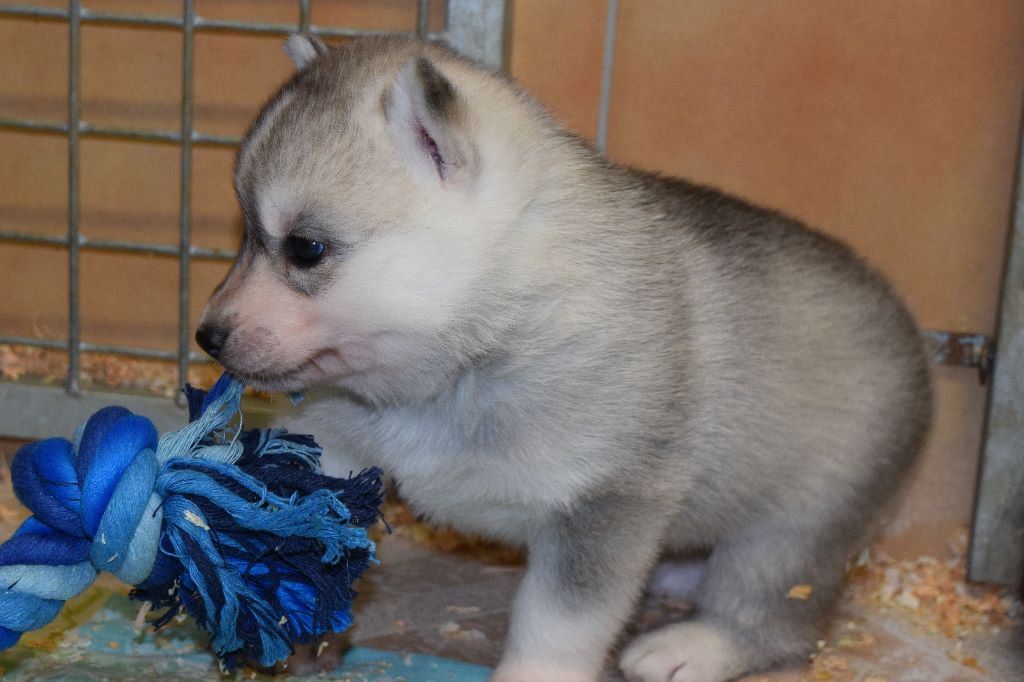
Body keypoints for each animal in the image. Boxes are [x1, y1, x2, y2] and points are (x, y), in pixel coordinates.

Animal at [195, 34, 932, 682]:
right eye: (244, 233)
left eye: (306, 249)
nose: (207, 337)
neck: (472, 353)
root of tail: (914, 334)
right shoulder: (338, 439)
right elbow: (316, 523)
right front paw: (296, 616)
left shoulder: (603, 505)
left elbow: (557, 622)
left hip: (794, 528)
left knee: (772, 615)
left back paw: (696, 645)